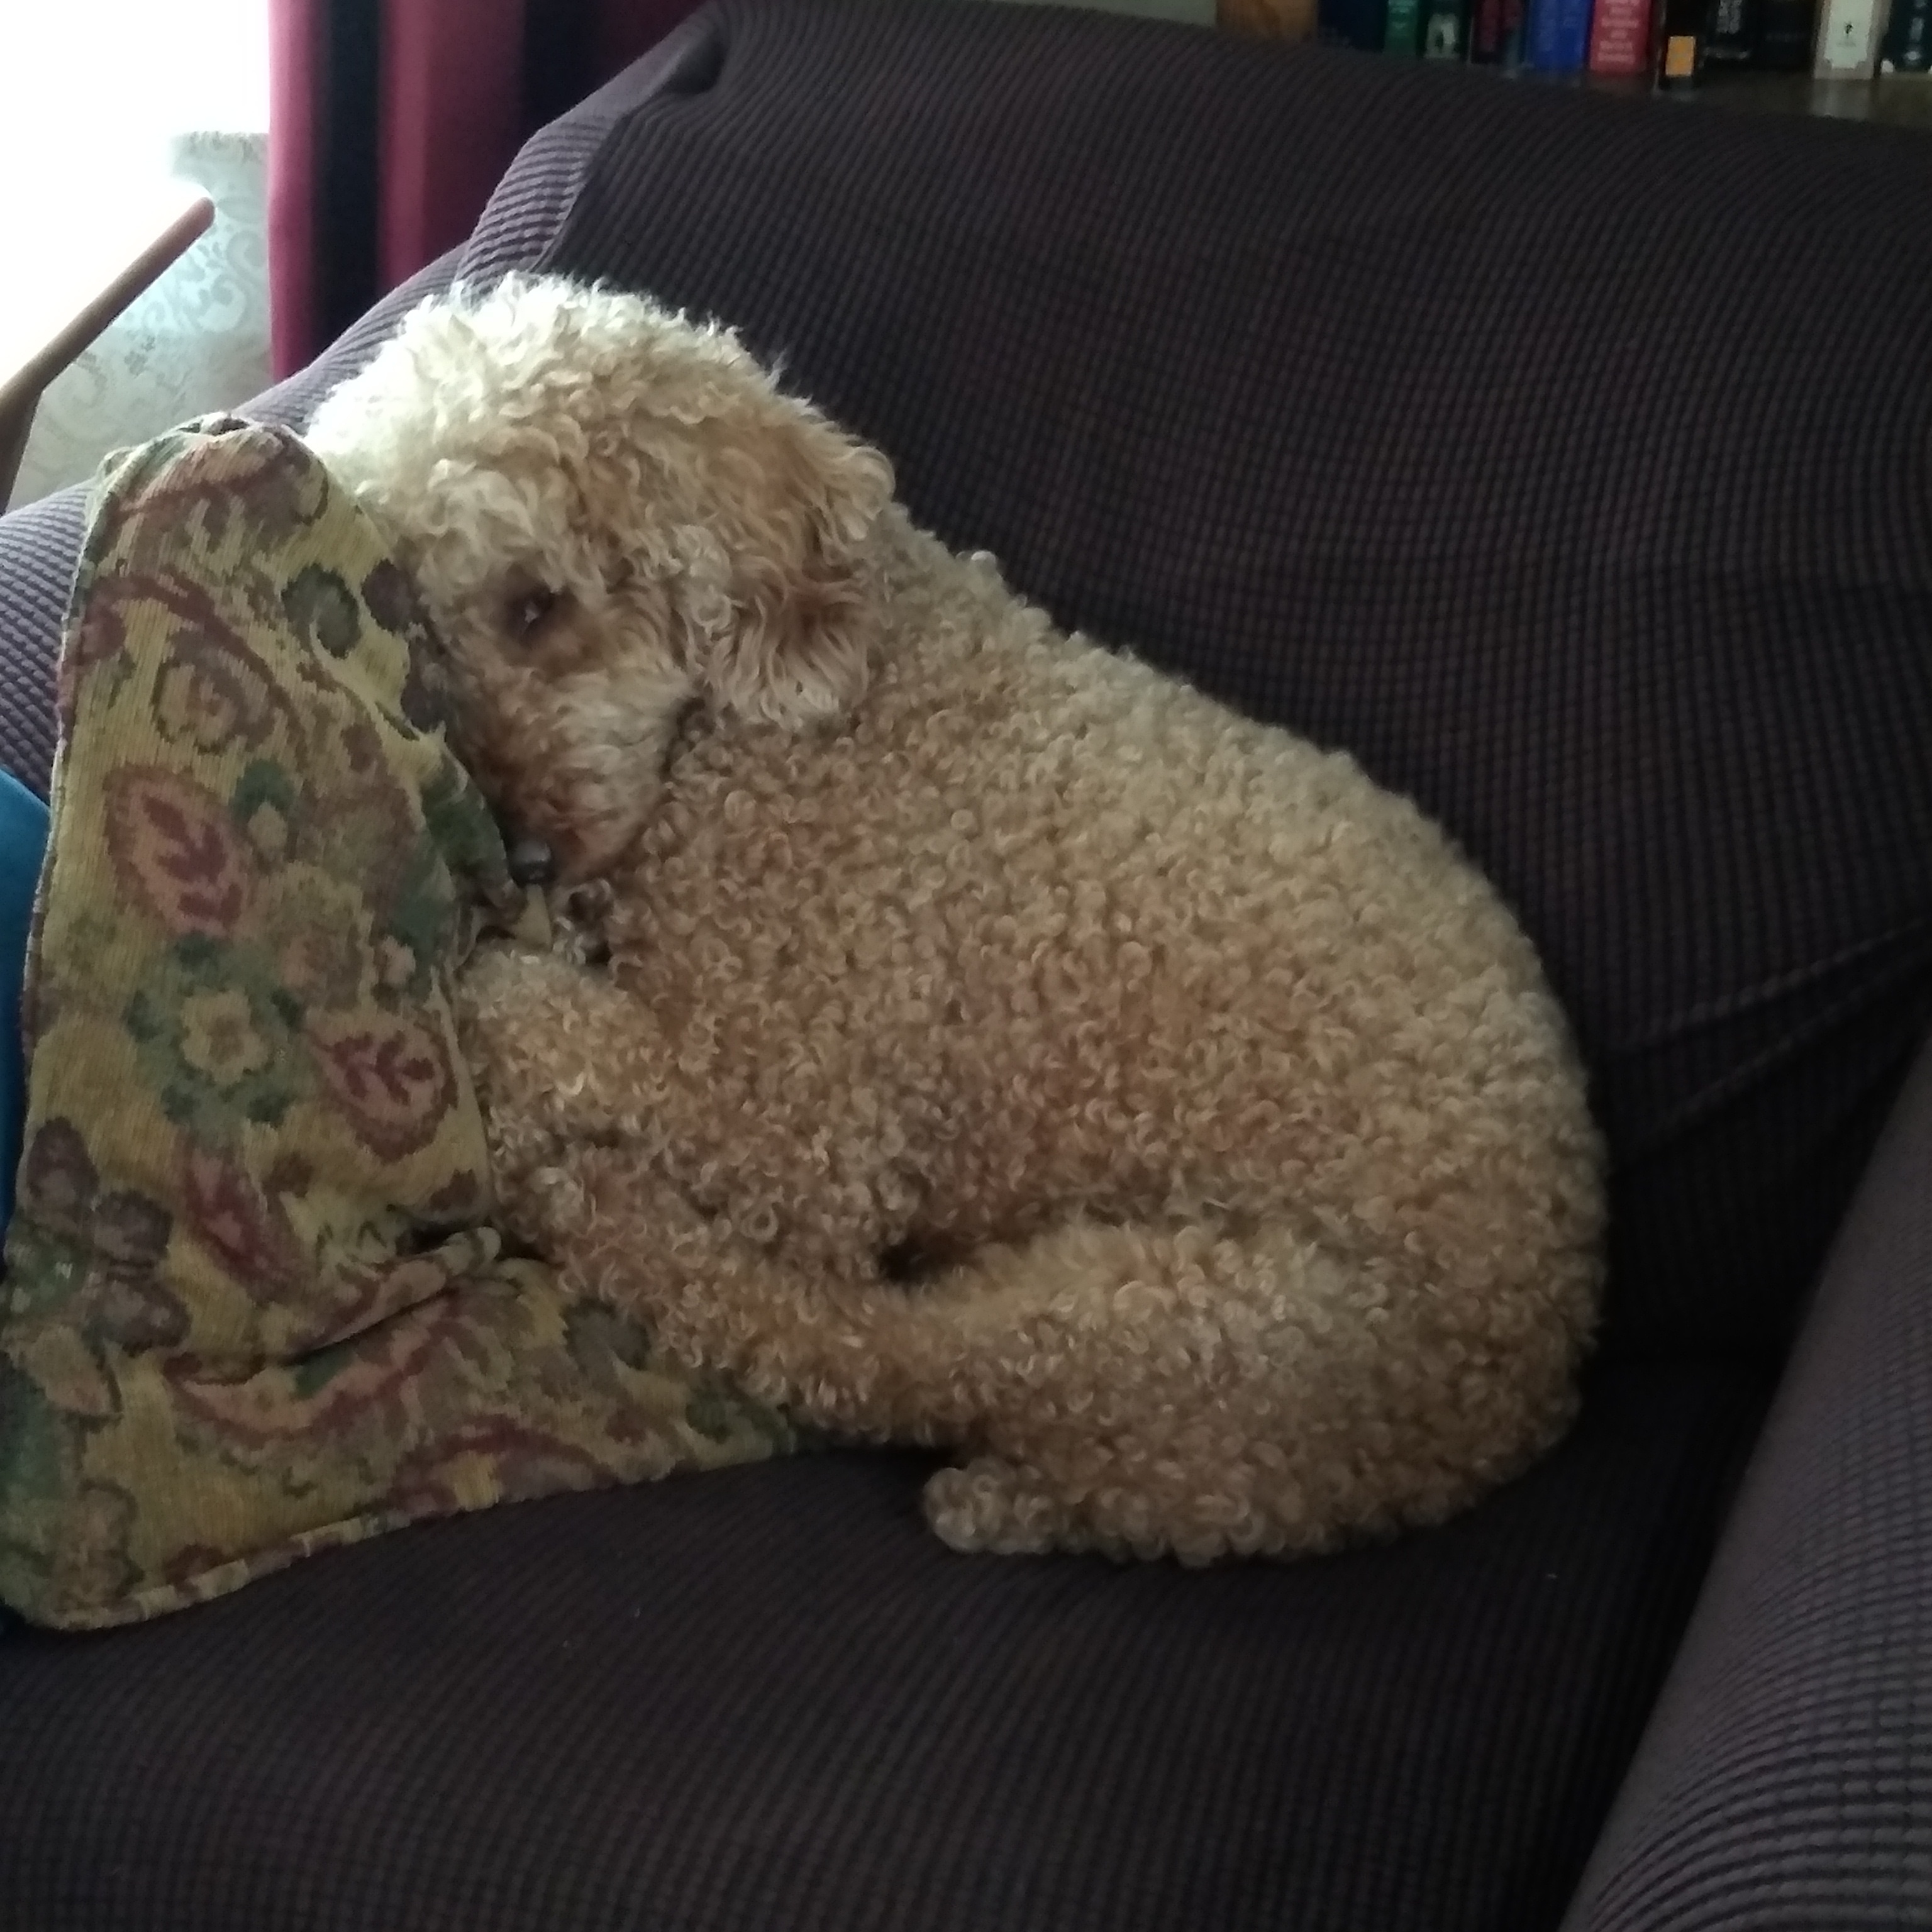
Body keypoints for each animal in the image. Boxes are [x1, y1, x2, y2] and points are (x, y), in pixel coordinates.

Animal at [309, 280, 1607, 1561]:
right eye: (422, 641)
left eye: (537, 605)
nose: (521, 858)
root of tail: (1506, 1409)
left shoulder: (797, 1121)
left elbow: (550, 1025)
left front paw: (496, 998)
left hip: (1165, 1322)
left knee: (861, 1348)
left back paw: (599, 1210)